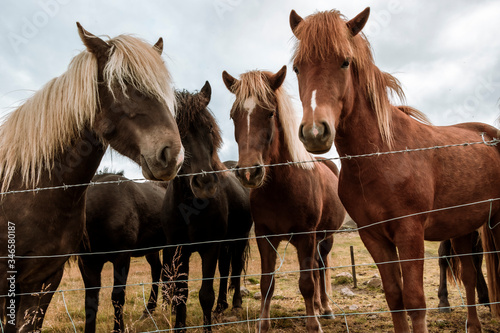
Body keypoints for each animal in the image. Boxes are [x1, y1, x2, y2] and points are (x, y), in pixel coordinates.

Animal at [78, 171, 168, 332]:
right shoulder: (88, 263)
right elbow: (90, 302)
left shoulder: (122, 258)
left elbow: (117, 297)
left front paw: (118, 328)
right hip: (152, 250)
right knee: (158, 270)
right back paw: (150, 309)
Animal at [161, 81, 252, 330]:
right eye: (178, 132)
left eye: (209, 129)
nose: (205, 184)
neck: (189, 209)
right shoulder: (178, 251)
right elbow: (180, 295)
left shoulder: (210, 247)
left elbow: (205, 295)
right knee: (225, 269)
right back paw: (221, 306)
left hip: (238, 240)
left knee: (234, 268)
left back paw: (235, 303)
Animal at [222, 66, 344, 330]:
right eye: (233, 116)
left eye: (269, 113)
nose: (248, 172)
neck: (282, 188)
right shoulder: (265, 237)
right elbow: (267, 283)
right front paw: (263, 324)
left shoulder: (307, 236)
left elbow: (307, 283)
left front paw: (313, 325)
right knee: (316, 268)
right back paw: (317, 306)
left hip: (325, 238)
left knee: (322, 267)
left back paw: (325, 308)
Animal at [290, 7, 500, 332]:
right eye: (297, 68)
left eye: (345, 61)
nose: (315, 132)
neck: (382, 156)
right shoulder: (374, 237)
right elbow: (395, 298)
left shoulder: (409, 231)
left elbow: (414, 301)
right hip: (463, 227)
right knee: (468, 275)